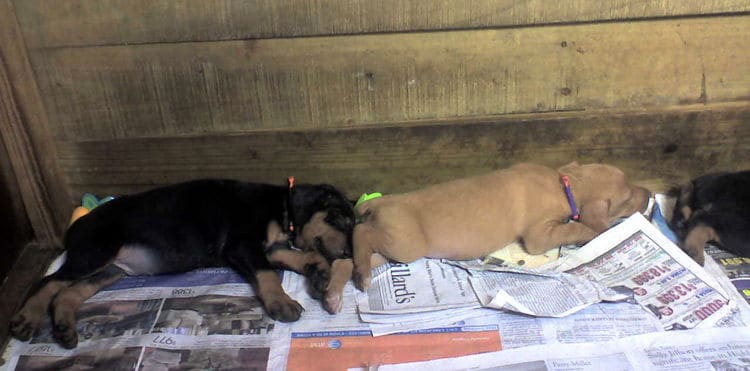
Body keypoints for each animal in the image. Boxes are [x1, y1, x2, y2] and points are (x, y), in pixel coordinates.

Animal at [8, 179, 356, 348]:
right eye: (340, 218)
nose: (348, 255)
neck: (280, 208)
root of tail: (75, 226)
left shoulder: (267, 248)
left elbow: (302, 255)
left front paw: (319, 273)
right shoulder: (243, 246)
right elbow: (268, 275)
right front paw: (281, 303)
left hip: (110, 270)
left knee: (67, 293)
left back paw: (64, 329)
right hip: (96, 251)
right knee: (48, 282)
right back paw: (26, 319)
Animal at [350, 163, 648, 294]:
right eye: (627, 199)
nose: (648, 195)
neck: (565, 184)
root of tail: (384, 200)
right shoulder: (539, 236)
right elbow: (574, 228)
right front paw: (594, 231)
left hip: (389, 249)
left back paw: (360, 271)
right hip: (405, 244)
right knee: (360, 232)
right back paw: (362, 275)